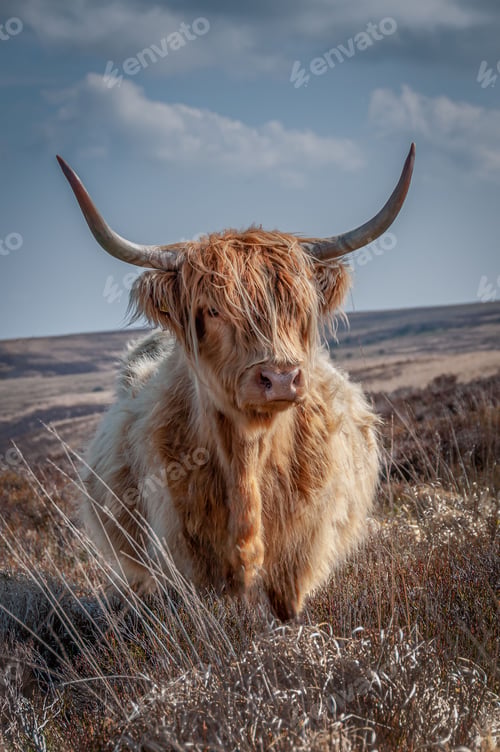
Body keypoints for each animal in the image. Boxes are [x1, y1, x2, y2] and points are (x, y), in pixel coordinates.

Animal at [57, 144, 414, 620]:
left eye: (297, 306)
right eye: (212, 309)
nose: (280, 378)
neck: (249, 455)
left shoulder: (298, 563)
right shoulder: (187, 566)